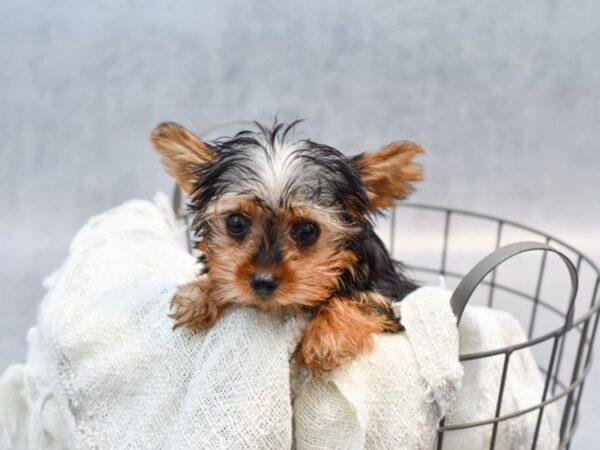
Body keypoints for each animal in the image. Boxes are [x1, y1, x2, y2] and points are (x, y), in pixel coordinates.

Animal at [150, 118, 422, 372]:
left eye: (308, 231)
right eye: (236, 223)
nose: (263, 282)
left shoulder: (394, 294)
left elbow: (365, 301)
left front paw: (326, 338)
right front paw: (199, 295)